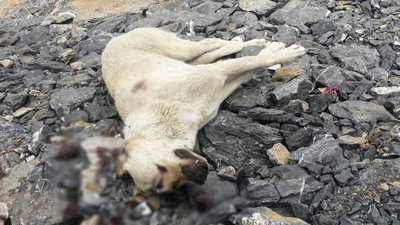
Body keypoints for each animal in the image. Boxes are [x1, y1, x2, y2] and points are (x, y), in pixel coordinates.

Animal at [101, 27, 308, 200]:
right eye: (174, 185)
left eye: (161, 167)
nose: (202, 176)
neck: (163, 121)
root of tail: (115, 39)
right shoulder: (218, 86)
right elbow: (248, 66)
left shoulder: (214, 72)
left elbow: (253, 60)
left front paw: (281, 53)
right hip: (188, 59)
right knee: (209, 53)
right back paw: (241, 43)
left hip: (180, 49)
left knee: (209, 42)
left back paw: (244, 42)